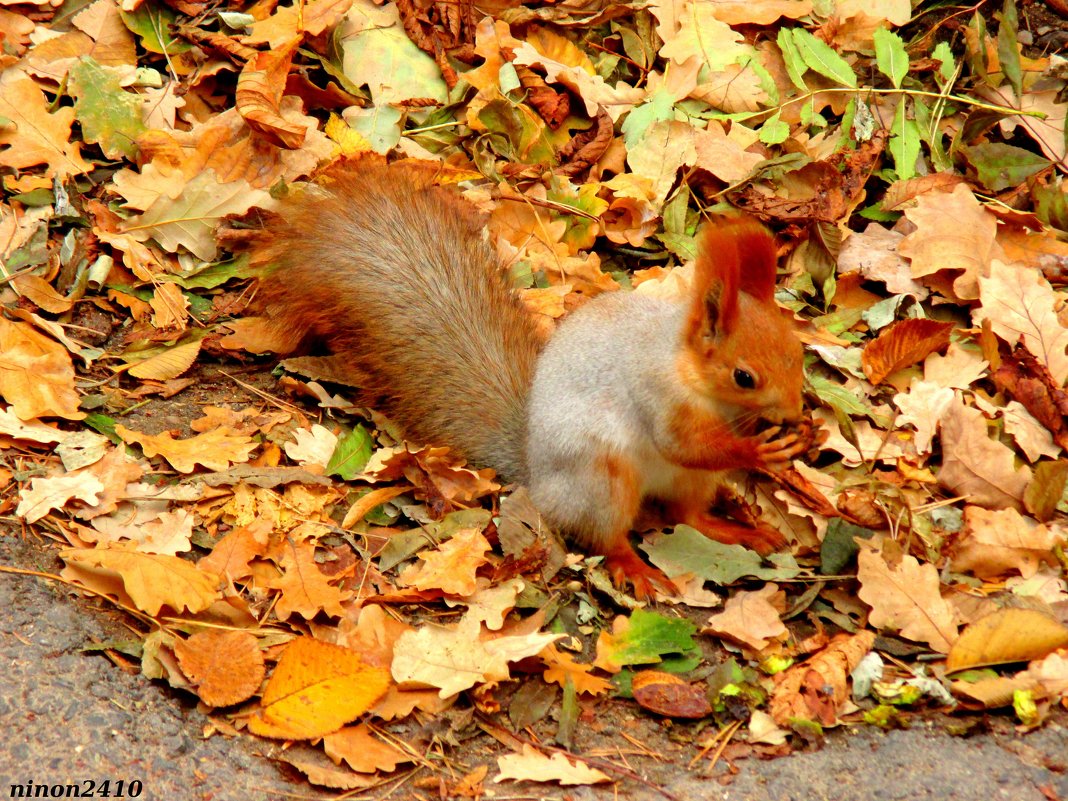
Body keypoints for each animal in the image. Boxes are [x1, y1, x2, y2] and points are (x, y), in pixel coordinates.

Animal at [254, 160, 803, 602]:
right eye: (744, 376)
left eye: (798, 353)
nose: (796, 413)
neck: (690, 374)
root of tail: (536, 477)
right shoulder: (657, 396)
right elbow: (683, 443)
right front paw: (758, 452)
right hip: (601, 481)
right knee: (607, 535)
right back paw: (634, 567)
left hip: (689, 484)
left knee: (688, 516)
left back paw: (740, 531)